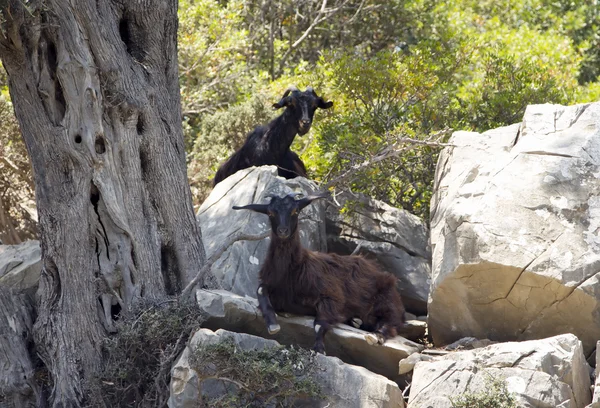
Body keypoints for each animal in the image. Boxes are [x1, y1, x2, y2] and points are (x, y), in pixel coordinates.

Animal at [232, 193, 406, 352]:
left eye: (295, 211)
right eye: (270, 213)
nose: (283, 230)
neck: (295, 268)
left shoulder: (331, 295)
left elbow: (319, 323)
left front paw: (319, 347)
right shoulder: (278, 293)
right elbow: (261, 290)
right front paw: (272, 323)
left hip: (387, 301)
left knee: (391, 322)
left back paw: (376, 336)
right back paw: (355, 321)